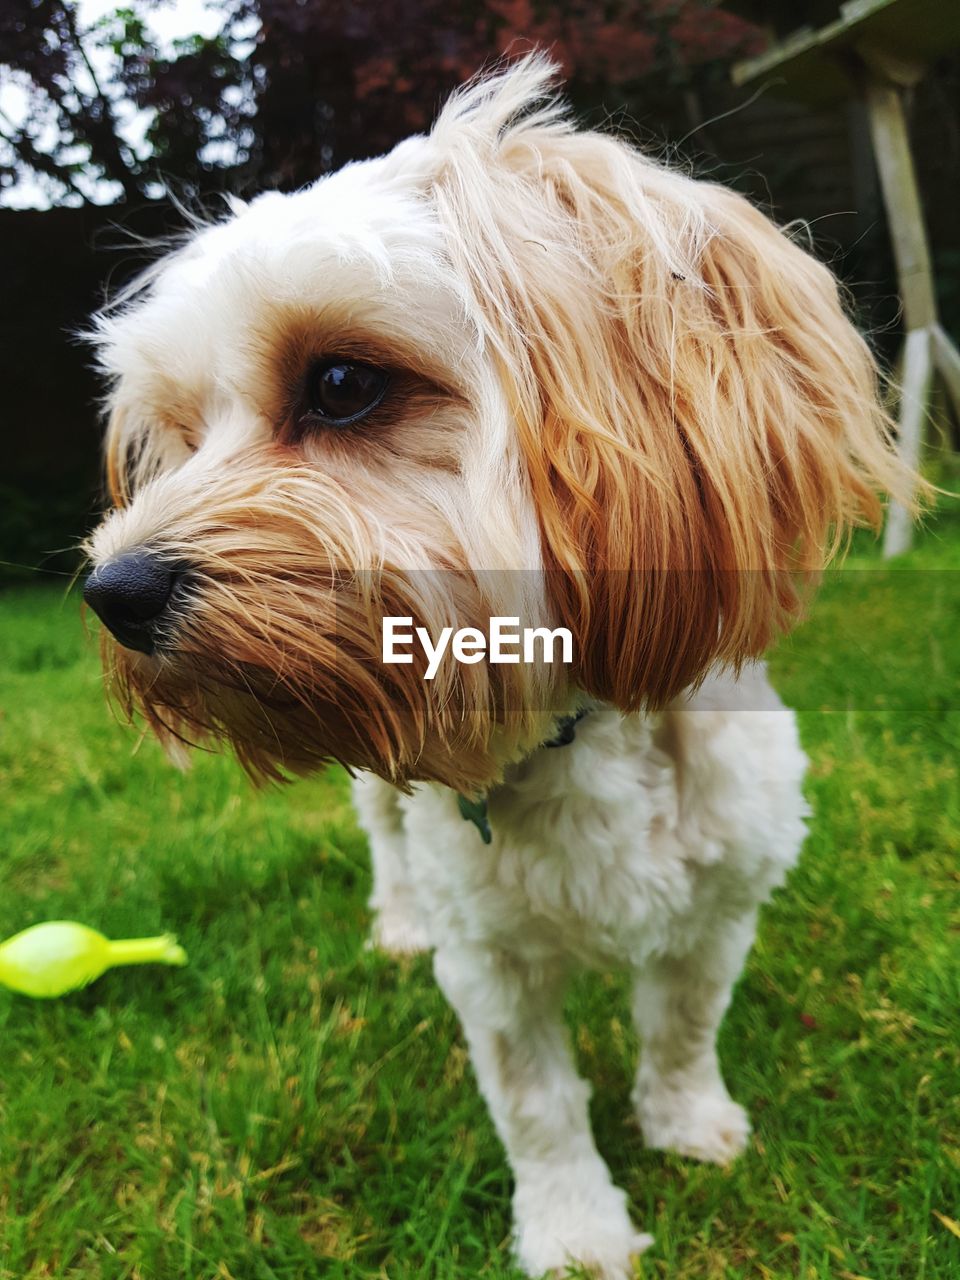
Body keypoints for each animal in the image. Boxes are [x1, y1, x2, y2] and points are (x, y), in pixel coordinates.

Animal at [80, 55, 911, 1274]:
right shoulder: (491, 964)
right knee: (382, 833)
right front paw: (576, 1227)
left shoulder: (722, 900)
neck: (572, 734)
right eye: (180, 434)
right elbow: (538, 1104)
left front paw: (686, 1121)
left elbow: (683, 1023)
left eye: (342, 383)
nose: (114, 594)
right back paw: (396, 915)